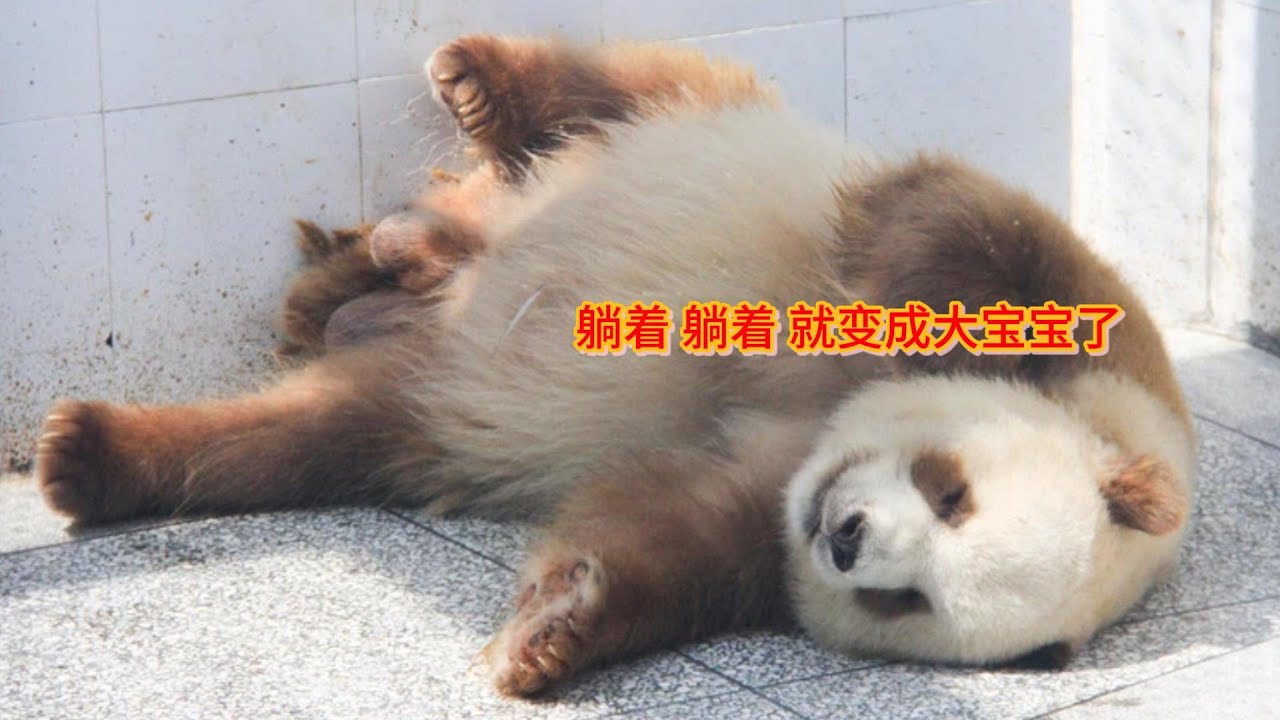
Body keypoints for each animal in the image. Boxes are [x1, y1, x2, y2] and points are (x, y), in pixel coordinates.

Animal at [35, 35, 1195, 696]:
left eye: (907, 600)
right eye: (950, 490)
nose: (844, 535)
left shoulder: (761, 509)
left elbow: (667, 534)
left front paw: (548, 634)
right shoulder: (1105, 346)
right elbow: (963, 232)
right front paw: (879, 294)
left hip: (430, 403)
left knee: (315, 432)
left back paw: (115, 442)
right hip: (697, 132)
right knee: (640, 86)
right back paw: (467, 109)